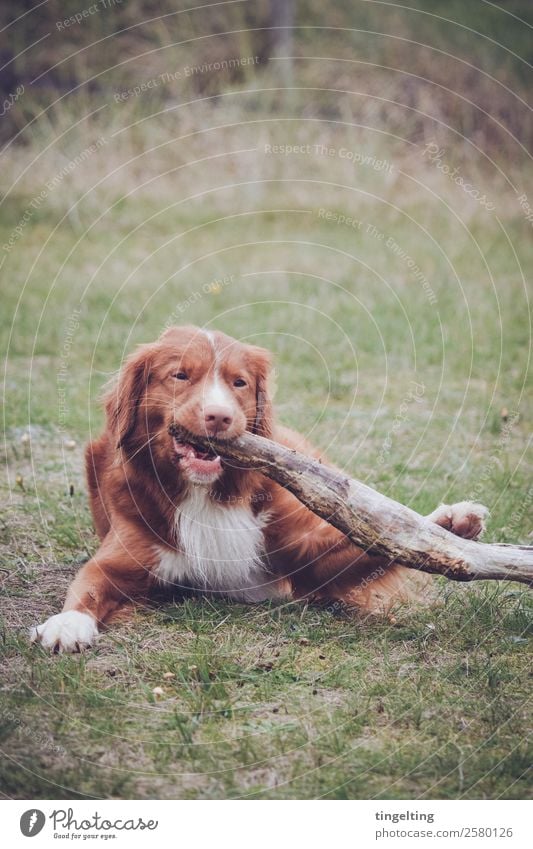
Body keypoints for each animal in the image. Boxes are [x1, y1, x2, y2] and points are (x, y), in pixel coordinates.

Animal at [30, 324, 486, 648]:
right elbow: (87, 585)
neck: (205, 493)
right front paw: (67, 624)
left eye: (239, 383)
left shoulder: (305, 563)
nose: (218, 417)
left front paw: (448, 527)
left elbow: (372, 542)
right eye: (180, 375)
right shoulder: (120, 558)